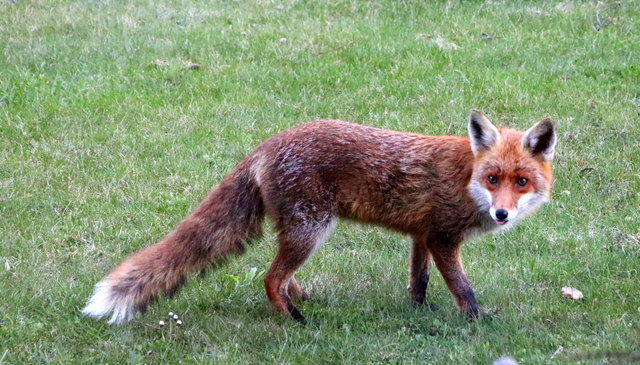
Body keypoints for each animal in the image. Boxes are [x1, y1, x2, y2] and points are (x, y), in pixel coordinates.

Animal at [84, 109, 556, 322]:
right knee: (269, 278)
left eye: (521, 182)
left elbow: (418, 281)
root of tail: (267, 144)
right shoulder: (442, 238)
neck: (463, 179)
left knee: (282, 273)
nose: (501, 214)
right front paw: (476, 321)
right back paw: (293, 318)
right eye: (492, 178)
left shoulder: (420, 235)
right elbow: (463, 288)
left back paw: (302, 298)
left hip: (302, 231)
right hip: (312, 229)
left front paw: (419, 310)